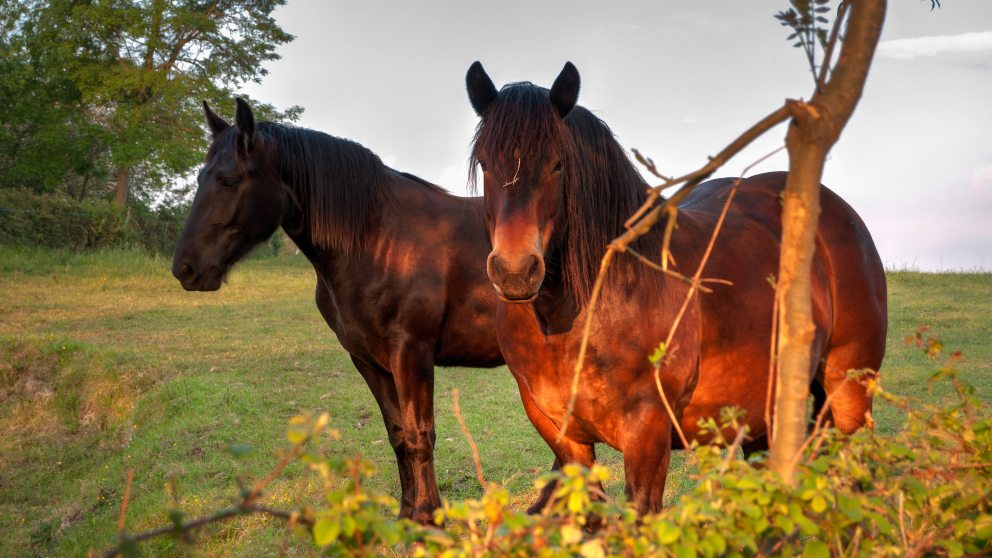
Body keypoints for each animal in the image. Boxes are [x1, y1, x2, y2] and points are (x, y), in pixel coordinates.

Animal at [170, 99, 504, 524]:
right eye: (200, 177)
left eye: (229, 180)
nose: (185, 267)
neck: (380, 240)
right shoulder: (369, 360)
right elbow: (398, 435)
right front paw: (405, 516)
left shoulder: (411, 352)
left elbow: (420, 434)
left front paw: (428, 516)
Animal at [466, 62, 892, 516]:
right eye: (485, 164)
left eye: (558, 164)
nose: (515, 271)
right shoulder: (563, 438)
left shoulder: (647, 431)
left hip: (848, 395)